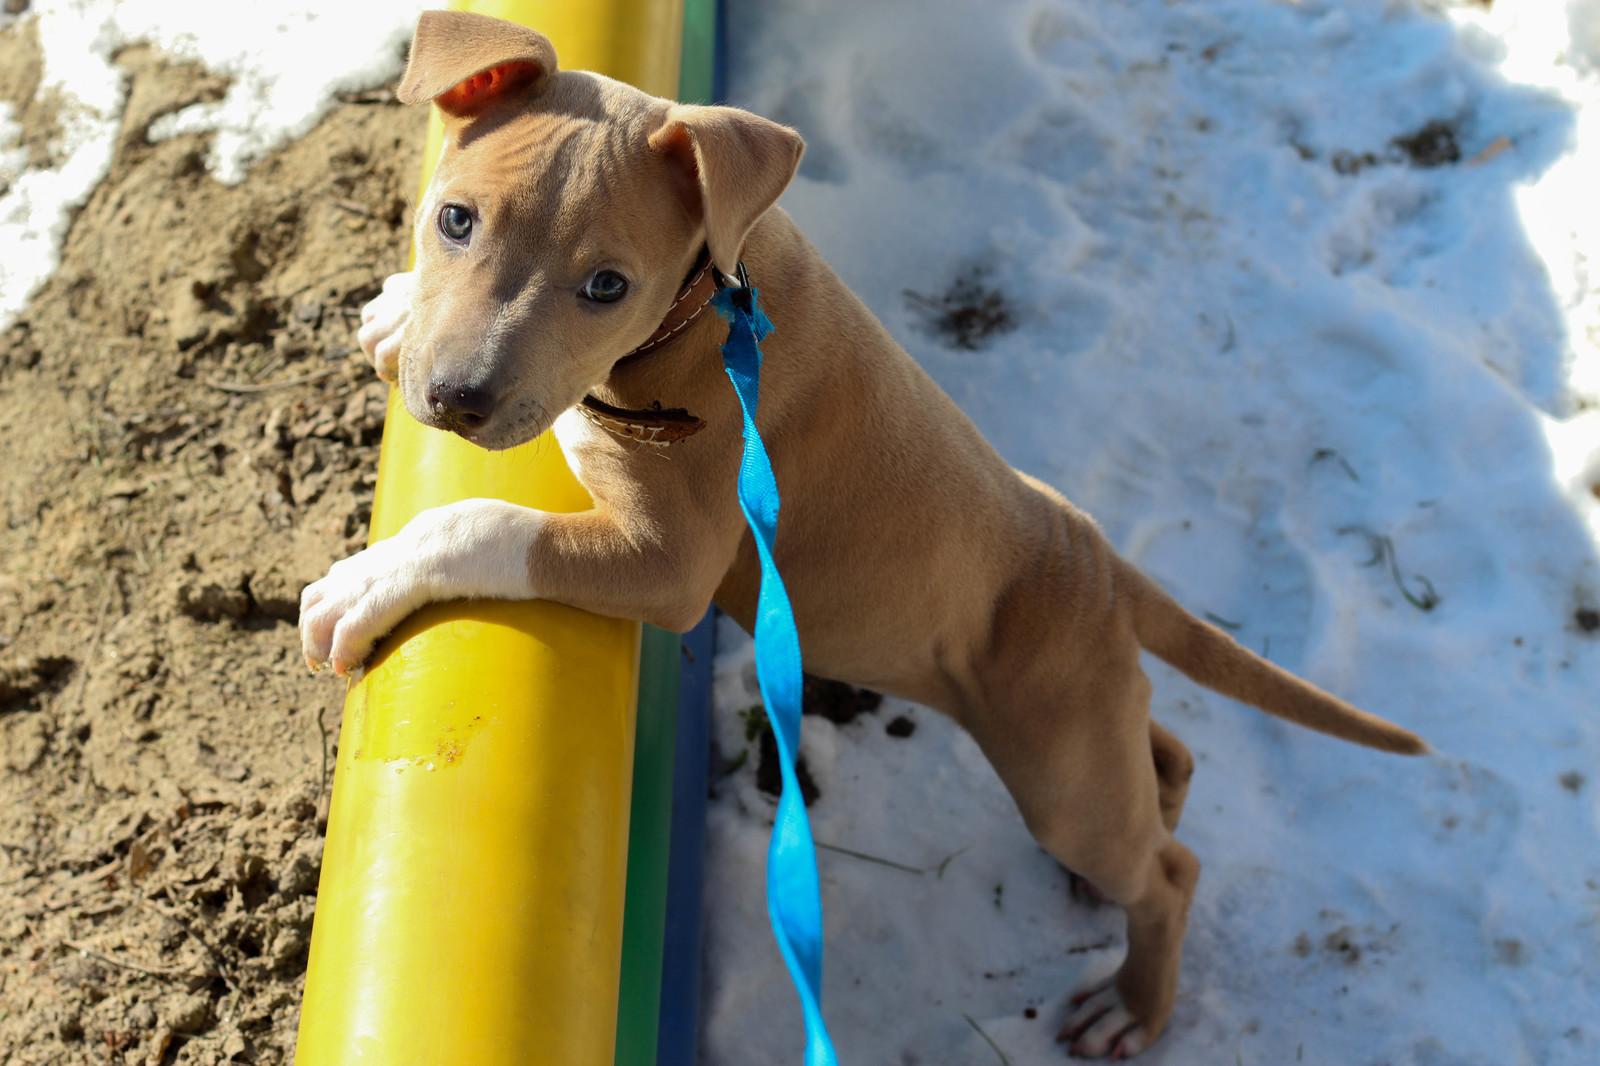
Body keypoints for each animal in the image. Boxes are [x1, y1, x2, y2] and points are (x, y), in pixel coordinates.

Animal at [300, 14, 1427, 1056]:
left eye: (606, 287)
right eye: (454, 219)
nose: (457, 398)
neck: (708, 301)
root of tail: (1096, 556)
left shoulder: (668, 563)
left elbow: (482, 518)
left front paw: (366, 580)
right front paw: (398, 313)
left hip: (1059, 763)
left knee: (1168, 870)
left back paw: (1130, 1006)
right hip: (1086, 728)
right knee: (1166, 756)